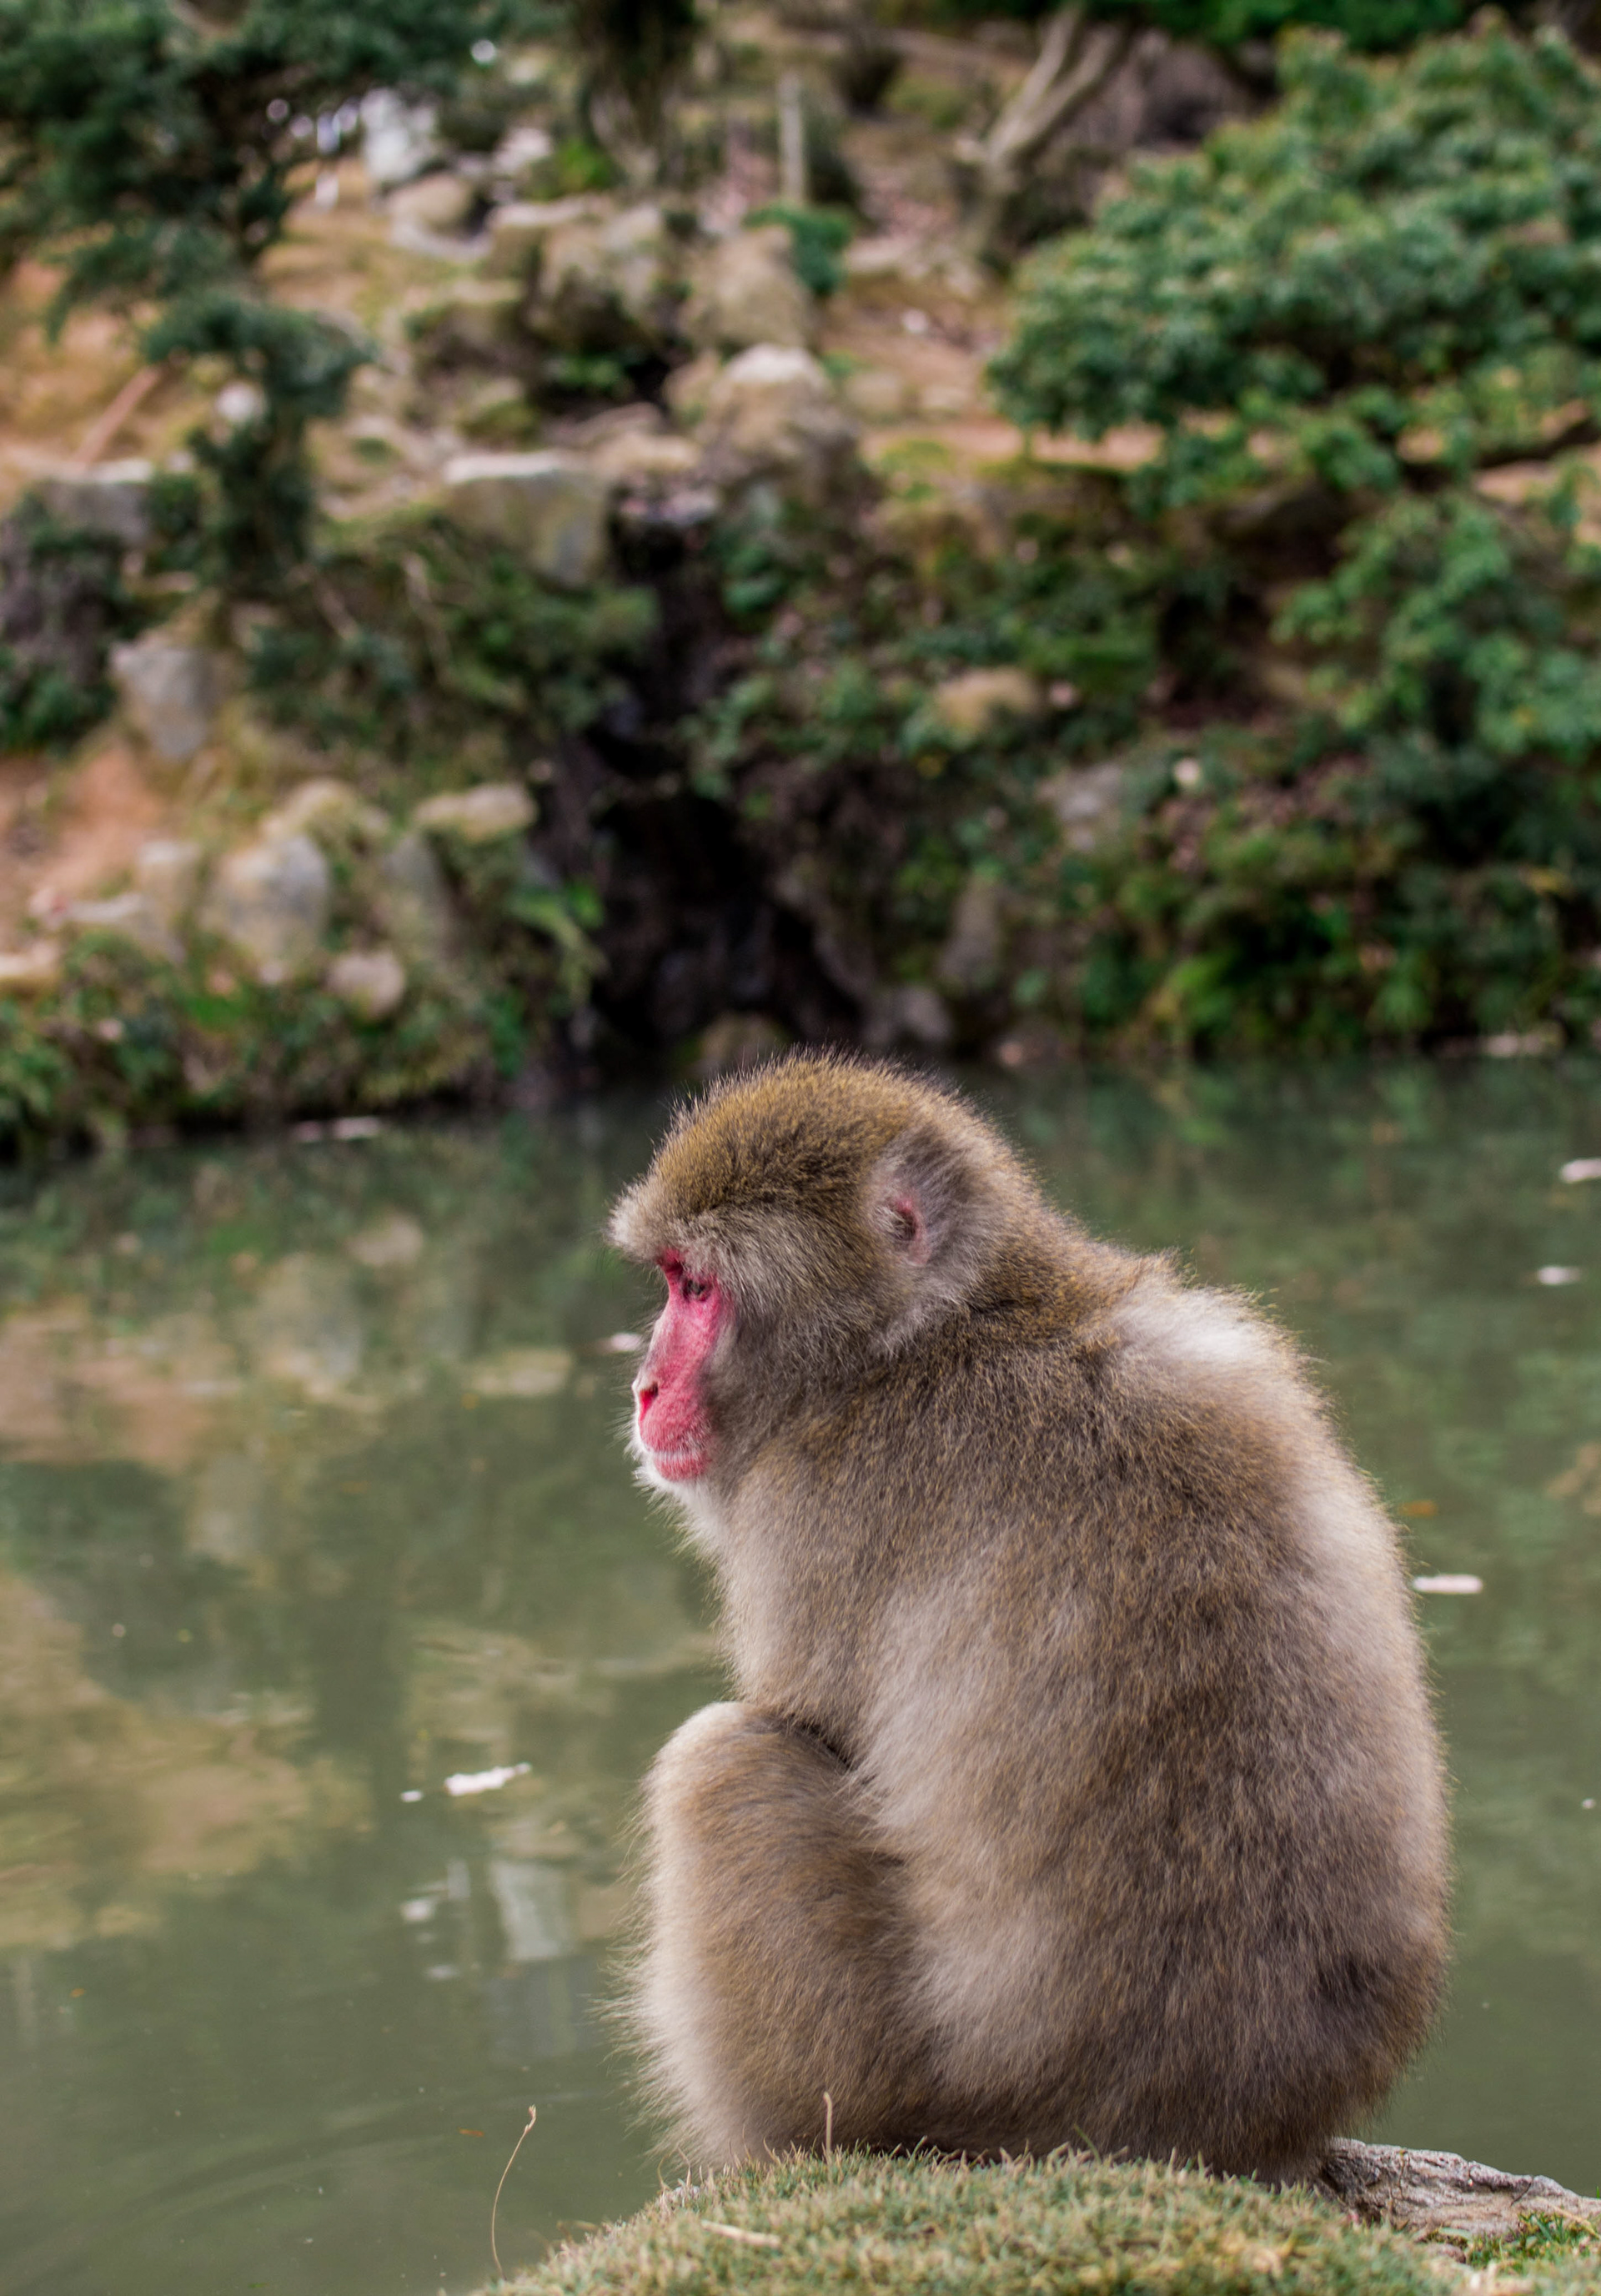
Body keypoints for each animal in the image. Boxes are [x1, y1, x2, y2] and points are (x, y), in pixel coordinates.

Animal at [608, 1053, 1448, 2183]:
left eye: (696, 1287)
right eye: (668, 1279)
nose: (646, 1385)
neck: (947, 1324)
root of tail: (1176, 2133)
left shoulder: (811, 1511)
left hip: (890, 2083)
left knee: (720, 1764)